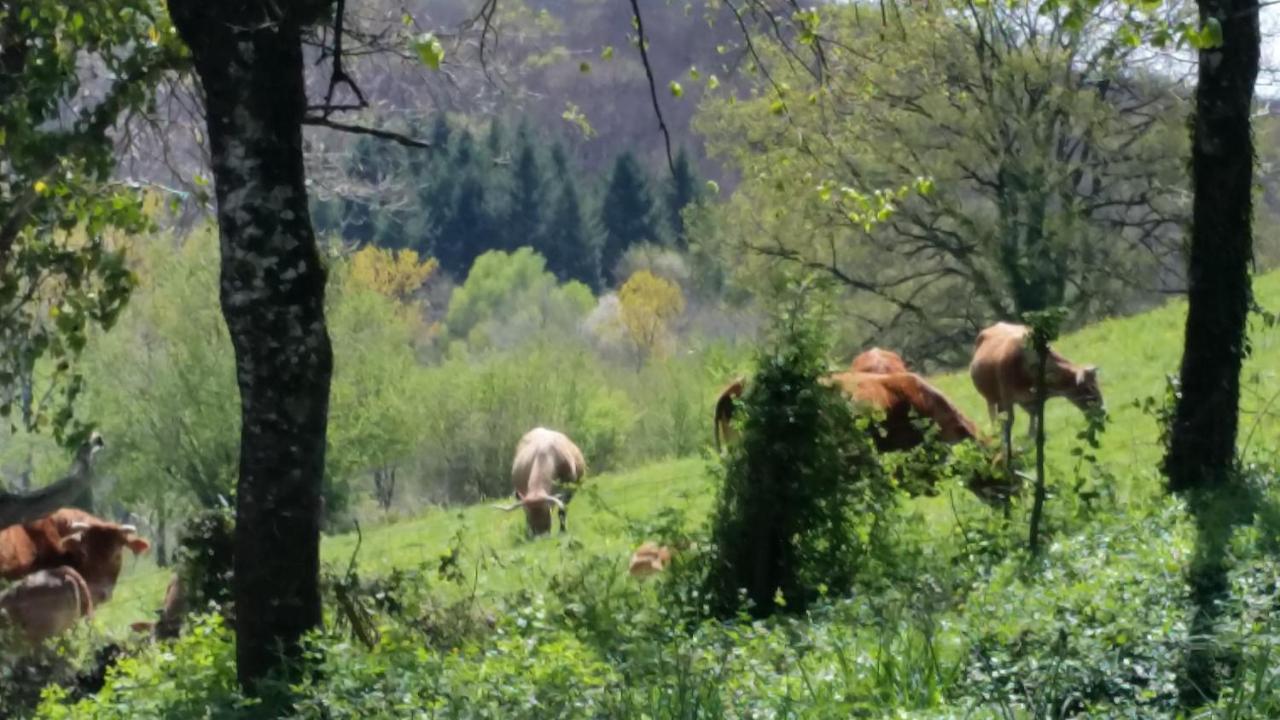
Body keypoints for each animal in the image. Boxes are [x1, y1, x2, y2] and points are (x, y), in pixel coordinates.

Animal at [967, 322, 1100, 456]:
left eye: (1096, 384)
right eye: (1087, 388)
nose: (1102, 410)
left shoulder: (1034, 399)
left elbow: (1035, 416)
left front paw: (1034, 437)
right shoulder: (1007, 399)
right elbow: (1009, 422)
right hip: (991, 398)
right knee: (994, 418)